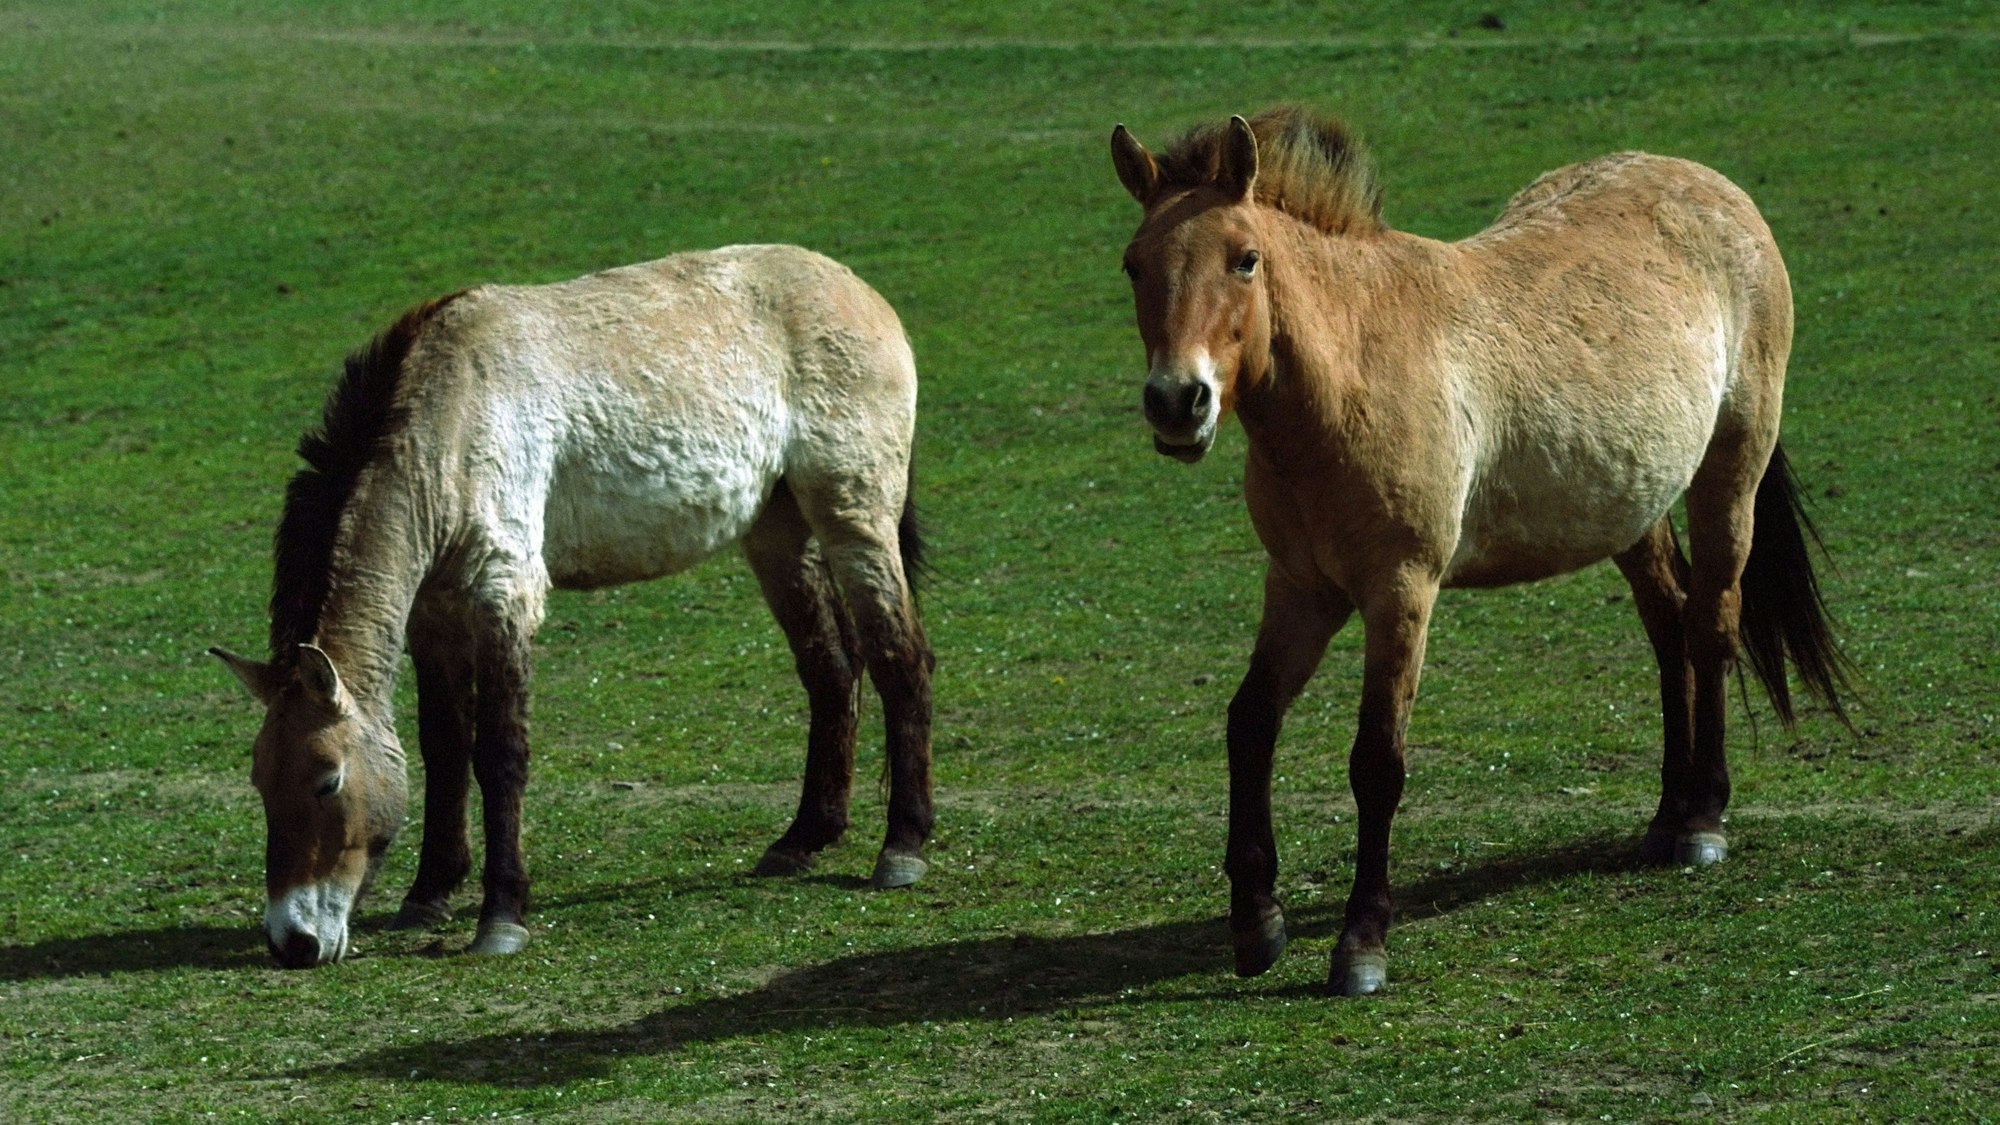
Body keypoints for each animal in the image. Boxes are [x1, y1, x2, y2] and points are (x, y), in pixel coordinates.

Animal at [210, 244, 936, 968]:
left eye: (327, 779)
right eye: (259, 780)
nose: (292, 941)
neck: (449, 421)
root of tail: (861, 294)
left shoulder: (503, 595)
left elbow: (499, 752)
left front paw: (501, 916)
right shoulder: (434, 614)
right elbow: (443, 747)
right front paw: (429, 893)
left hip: (854, 518)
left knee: (900, 660)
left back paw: (902, 848)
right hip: (779, 533)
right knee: (832, 671)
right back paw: (803, 839)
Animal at [1109, 106, 1853, 995]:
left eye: (1244, 258)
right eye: (1134, 264)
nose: (1177, 401)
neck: (1353, 373)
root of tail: (1713, 187)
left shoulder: (1402, 590)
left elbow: (1377, 760)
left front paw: (1362, 942)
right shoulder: (1301, 587)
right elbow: (1250, 721)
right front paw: (1257, 921)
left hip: (1729, 469)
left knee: (1711, 625)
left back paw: (1704, 818)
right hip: (1632, 503)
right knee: (1670, 626)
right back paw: (1667, 817)